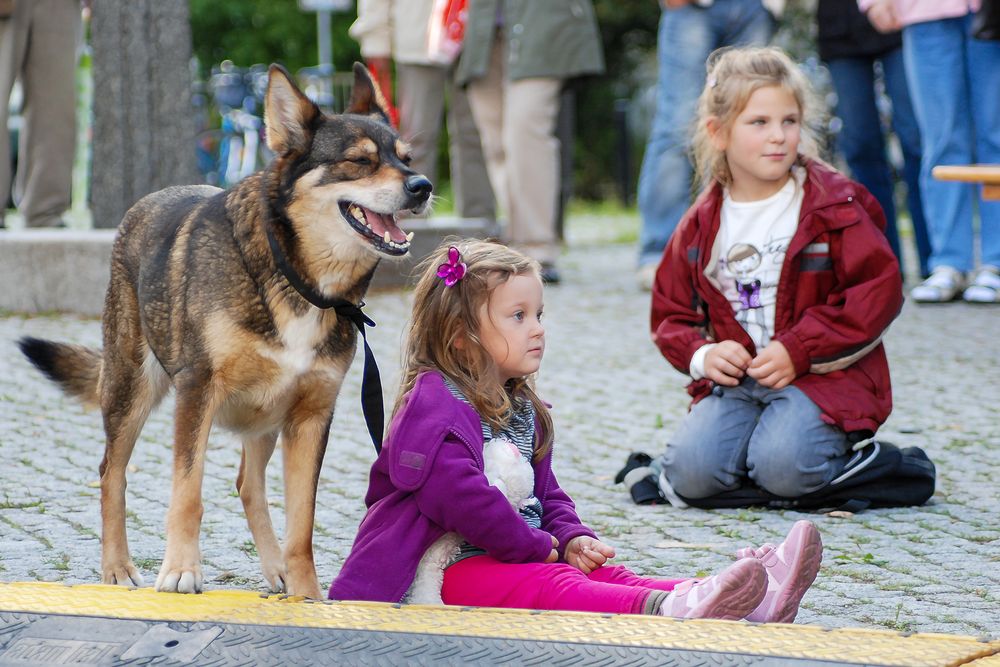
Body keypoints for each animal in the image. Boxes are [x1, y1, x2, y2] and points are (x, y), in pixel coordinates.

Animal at [16, 62, 430, 600]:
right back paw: (117, 567)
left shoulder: (312, 415)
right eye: (360, 161)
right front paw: (180, 571)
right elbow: (187, 490)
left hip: (267, 414)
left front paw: (306, 595)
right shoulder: (197, 391)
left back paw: (275, 569)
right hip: (132, 390)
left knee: (248, 485)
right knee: (111, 473)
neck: (294, 275)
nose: (423, 186)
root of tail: (146, 202)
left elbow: (302, 523)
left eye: (406, 158)